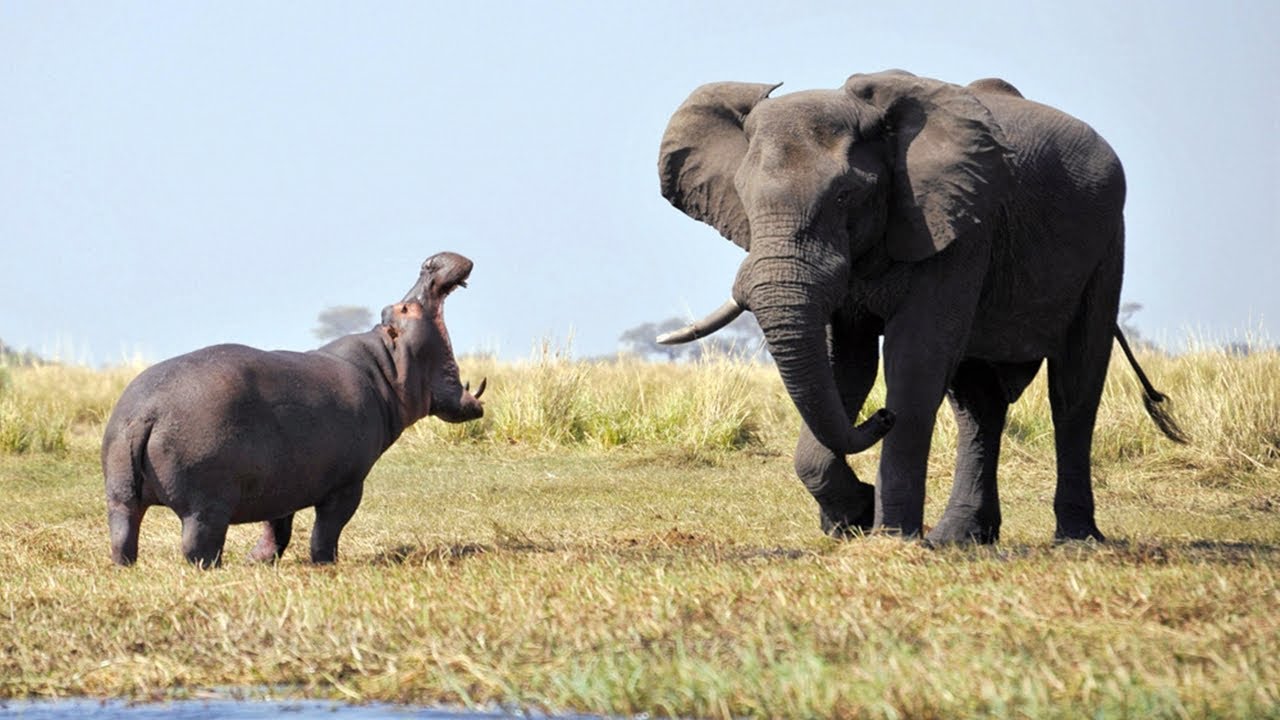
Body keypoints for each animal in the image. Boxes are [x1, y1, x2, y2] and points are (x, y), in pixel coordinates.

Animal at [101, 249, 483, 563]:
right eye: (405, 309)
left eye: (391, 308)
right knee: (197, 546)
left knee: (123, 534)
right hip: (205, 506)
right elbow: (327, 529)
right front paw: (325, 563)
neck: (384, 367)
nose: (430, 262)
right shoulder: (347, 484)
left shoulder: (281, 481)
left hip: (119, 494)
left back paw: (127, 566)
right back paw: (215, 568)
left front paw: (257, 560)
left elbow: (277, 527)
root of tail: (145, 414)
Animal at [655, 70, 1182, 540]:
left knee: (1074, 388)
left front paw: (888, 534)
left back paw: (1075, 538)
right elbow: (845, 366)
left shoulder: (958, 225)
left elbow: (914, 361)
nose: (880, 417)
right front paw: (852, 519)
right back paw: (959, 537)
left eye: (846, 195)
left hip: (1105, 242)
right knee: (978, 403)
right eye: (743, 197)